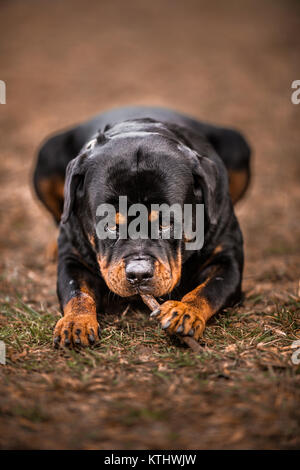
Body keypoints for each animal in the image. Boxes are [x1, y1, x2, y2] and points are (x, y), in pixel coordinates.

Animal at [33, 107, 251, 348]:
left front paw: (184, 311)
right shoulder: (73, 259)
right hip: (47, 154)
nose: (138, 273)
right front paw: (75, 323)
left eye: (166, 223)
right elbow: (77, 292)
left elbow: (210, 290)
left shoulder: (226, 259)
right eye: (109, 225)